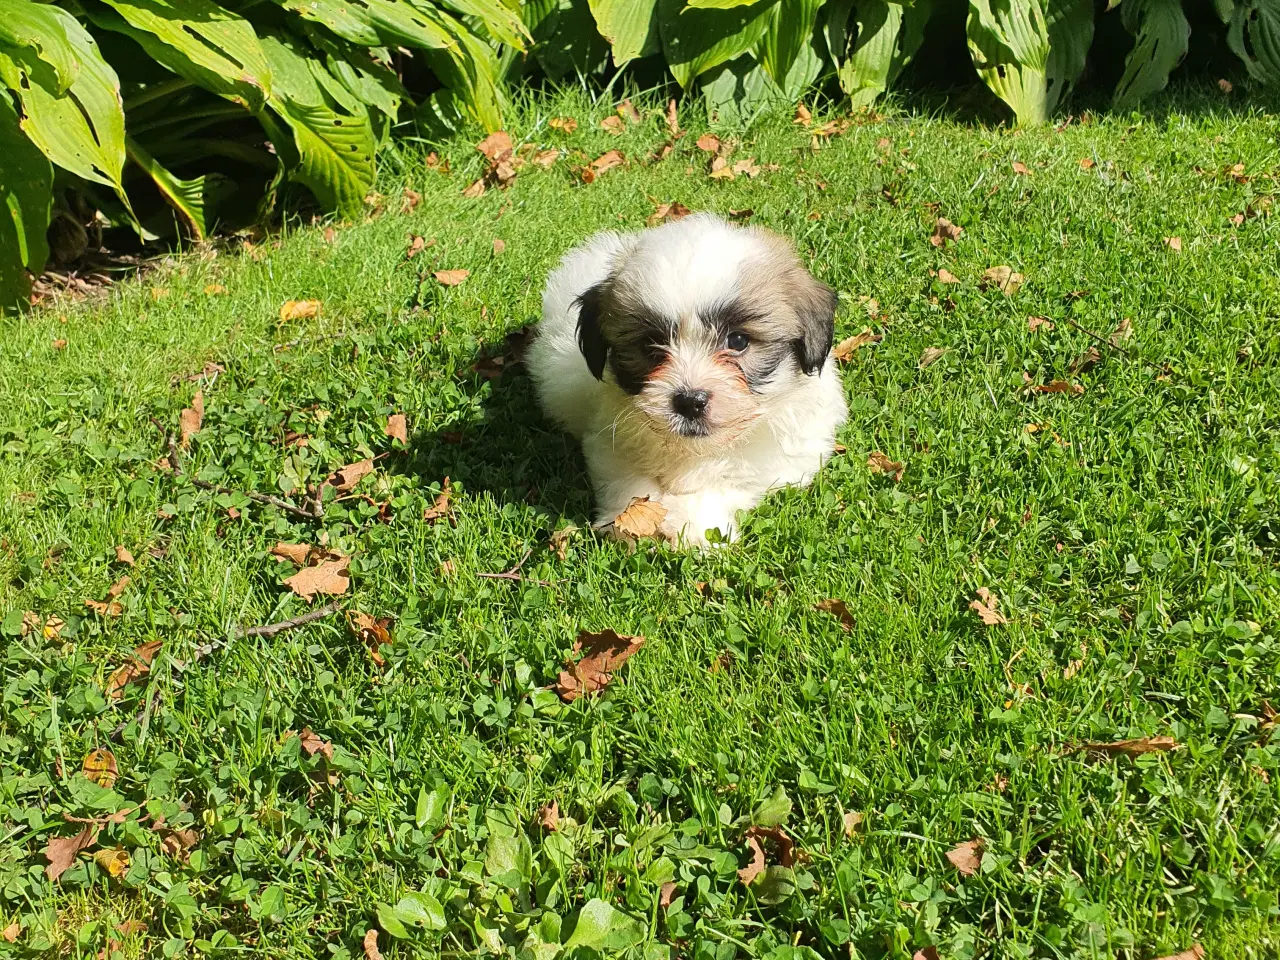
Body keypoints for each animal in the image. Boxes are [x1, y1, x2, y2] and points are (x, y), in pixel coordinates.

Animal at [529, 215, 849, 547]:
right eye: (651, 345)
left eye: (738, 341)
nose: (690, 401)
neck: (692, 449)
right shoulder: (608, 441)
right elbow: (627, 479)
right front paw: (632, 521)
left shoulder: (784, 458)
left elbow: (728, 479)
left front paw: (694, 529)